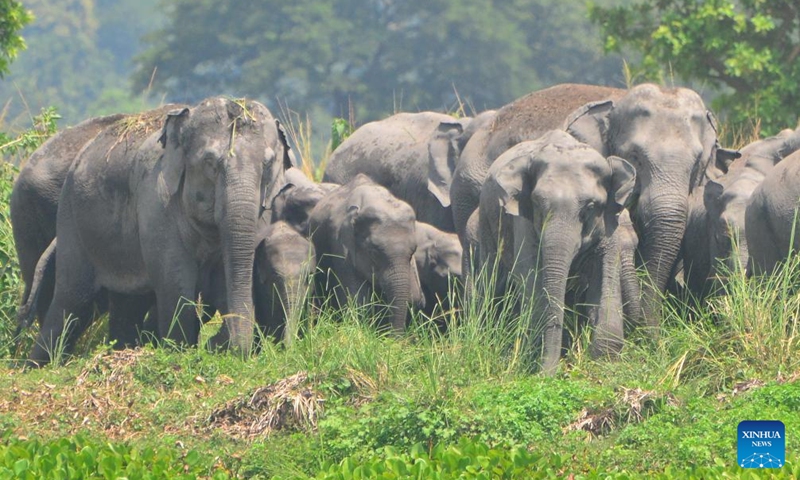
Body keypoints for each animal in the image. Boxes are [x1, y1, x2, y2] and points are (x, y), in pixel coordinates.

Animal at [27, 97, 292, 366]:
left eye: (268, 164)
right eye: (210, 163)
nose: (217, 344)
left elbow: (226, 277)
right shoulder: (156, 201)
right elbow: (176, 280)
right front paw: (180, 351)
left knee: (126, 303)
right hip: (71, 218)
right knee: (71, 299)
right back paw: (37, 366)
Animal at [477, 130, 636, 375]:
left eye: (590, 208)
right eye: (537, 204)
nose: (547, 375)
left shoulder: (610, 221)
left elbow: (606, 270)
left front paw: (605, 360)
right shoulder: (522, 219)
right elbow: (530, 273)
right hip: (485, 220)